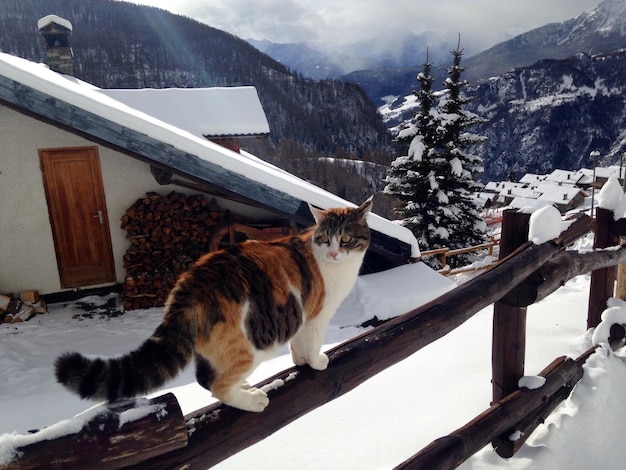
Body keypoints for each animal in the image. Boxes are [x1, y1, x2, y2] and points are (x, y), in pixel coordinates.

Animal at [54, 197, 370, 412]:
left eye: (345, 238)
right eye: (325, 238)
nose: (333, 252)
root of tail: (189, 282)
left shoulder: (302, 316)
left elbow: (298, 343)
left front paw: (301, 361)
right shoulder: (318, 315)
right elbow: (313, 343)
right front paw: (317, 362)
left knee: (207, 376)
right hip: (248, 344)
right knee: (213, 384)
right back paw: (253, 400)